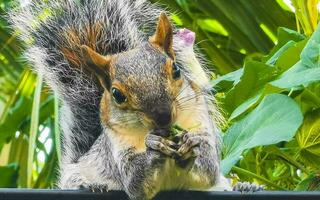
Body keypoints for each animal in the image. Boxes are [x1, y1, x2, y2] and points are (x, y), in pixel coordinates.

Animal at [9, 0, 262, 198]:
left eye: (176, 70)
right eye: (117, 94)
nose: (163, 116)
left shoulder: (200, 122)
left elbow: (208, 169)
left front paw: (192, 143)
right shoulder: (118, 146)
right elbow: (135, 182)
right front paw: (153, 146)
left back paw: (246, 187)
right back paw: (91, 185)